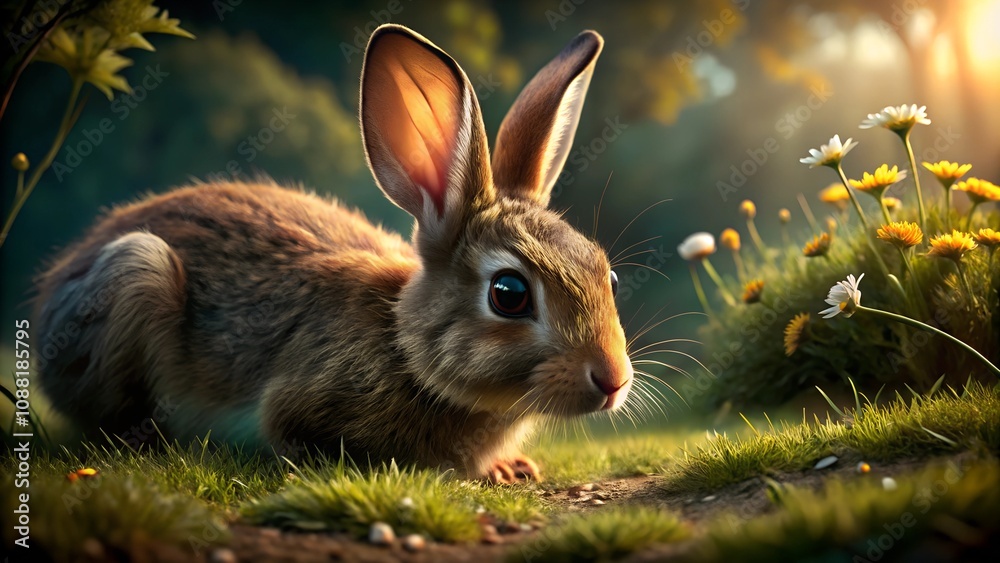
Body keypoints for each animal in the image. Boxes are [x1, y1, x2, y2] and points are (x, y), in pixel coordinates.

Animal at [33, 24, 633, 483]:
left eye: (609, 278)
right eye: (509, 293)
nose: (613, 380)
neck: (403, 346)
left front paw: (510, 468)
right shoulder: (297, 406)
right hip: (137, 271)